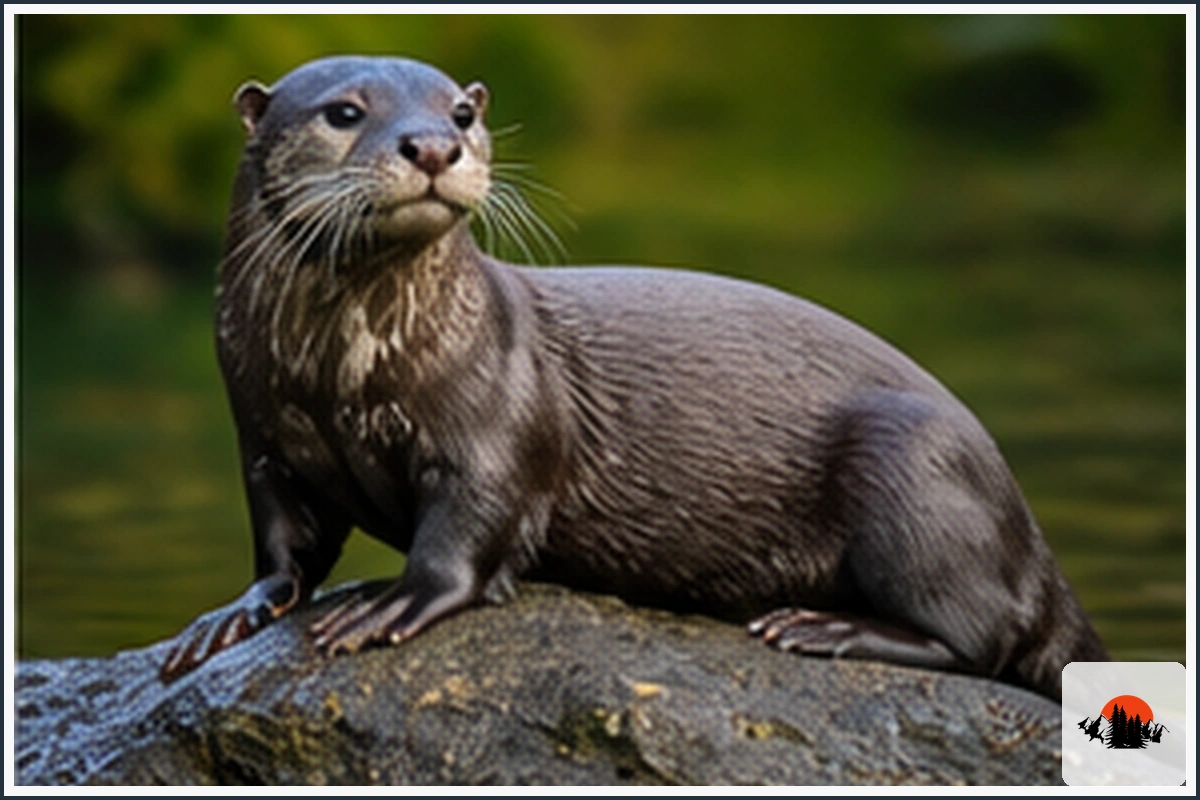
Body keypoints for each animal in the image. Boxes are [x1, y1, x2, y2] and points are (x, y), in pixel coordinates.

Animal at [160, 55, 1108, 700]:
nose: (432, 145)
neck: (342, 380)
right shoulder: (265, 440)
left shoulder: (495, 428)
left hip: (917, 472)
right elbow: (285, 547)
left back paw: (825, 627)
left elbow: (467, 534)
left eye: (461, 111)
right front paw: (225, 617)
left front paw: (393, 604)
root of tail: (1033, 542)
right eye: (344, 111)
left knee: (983, 637)